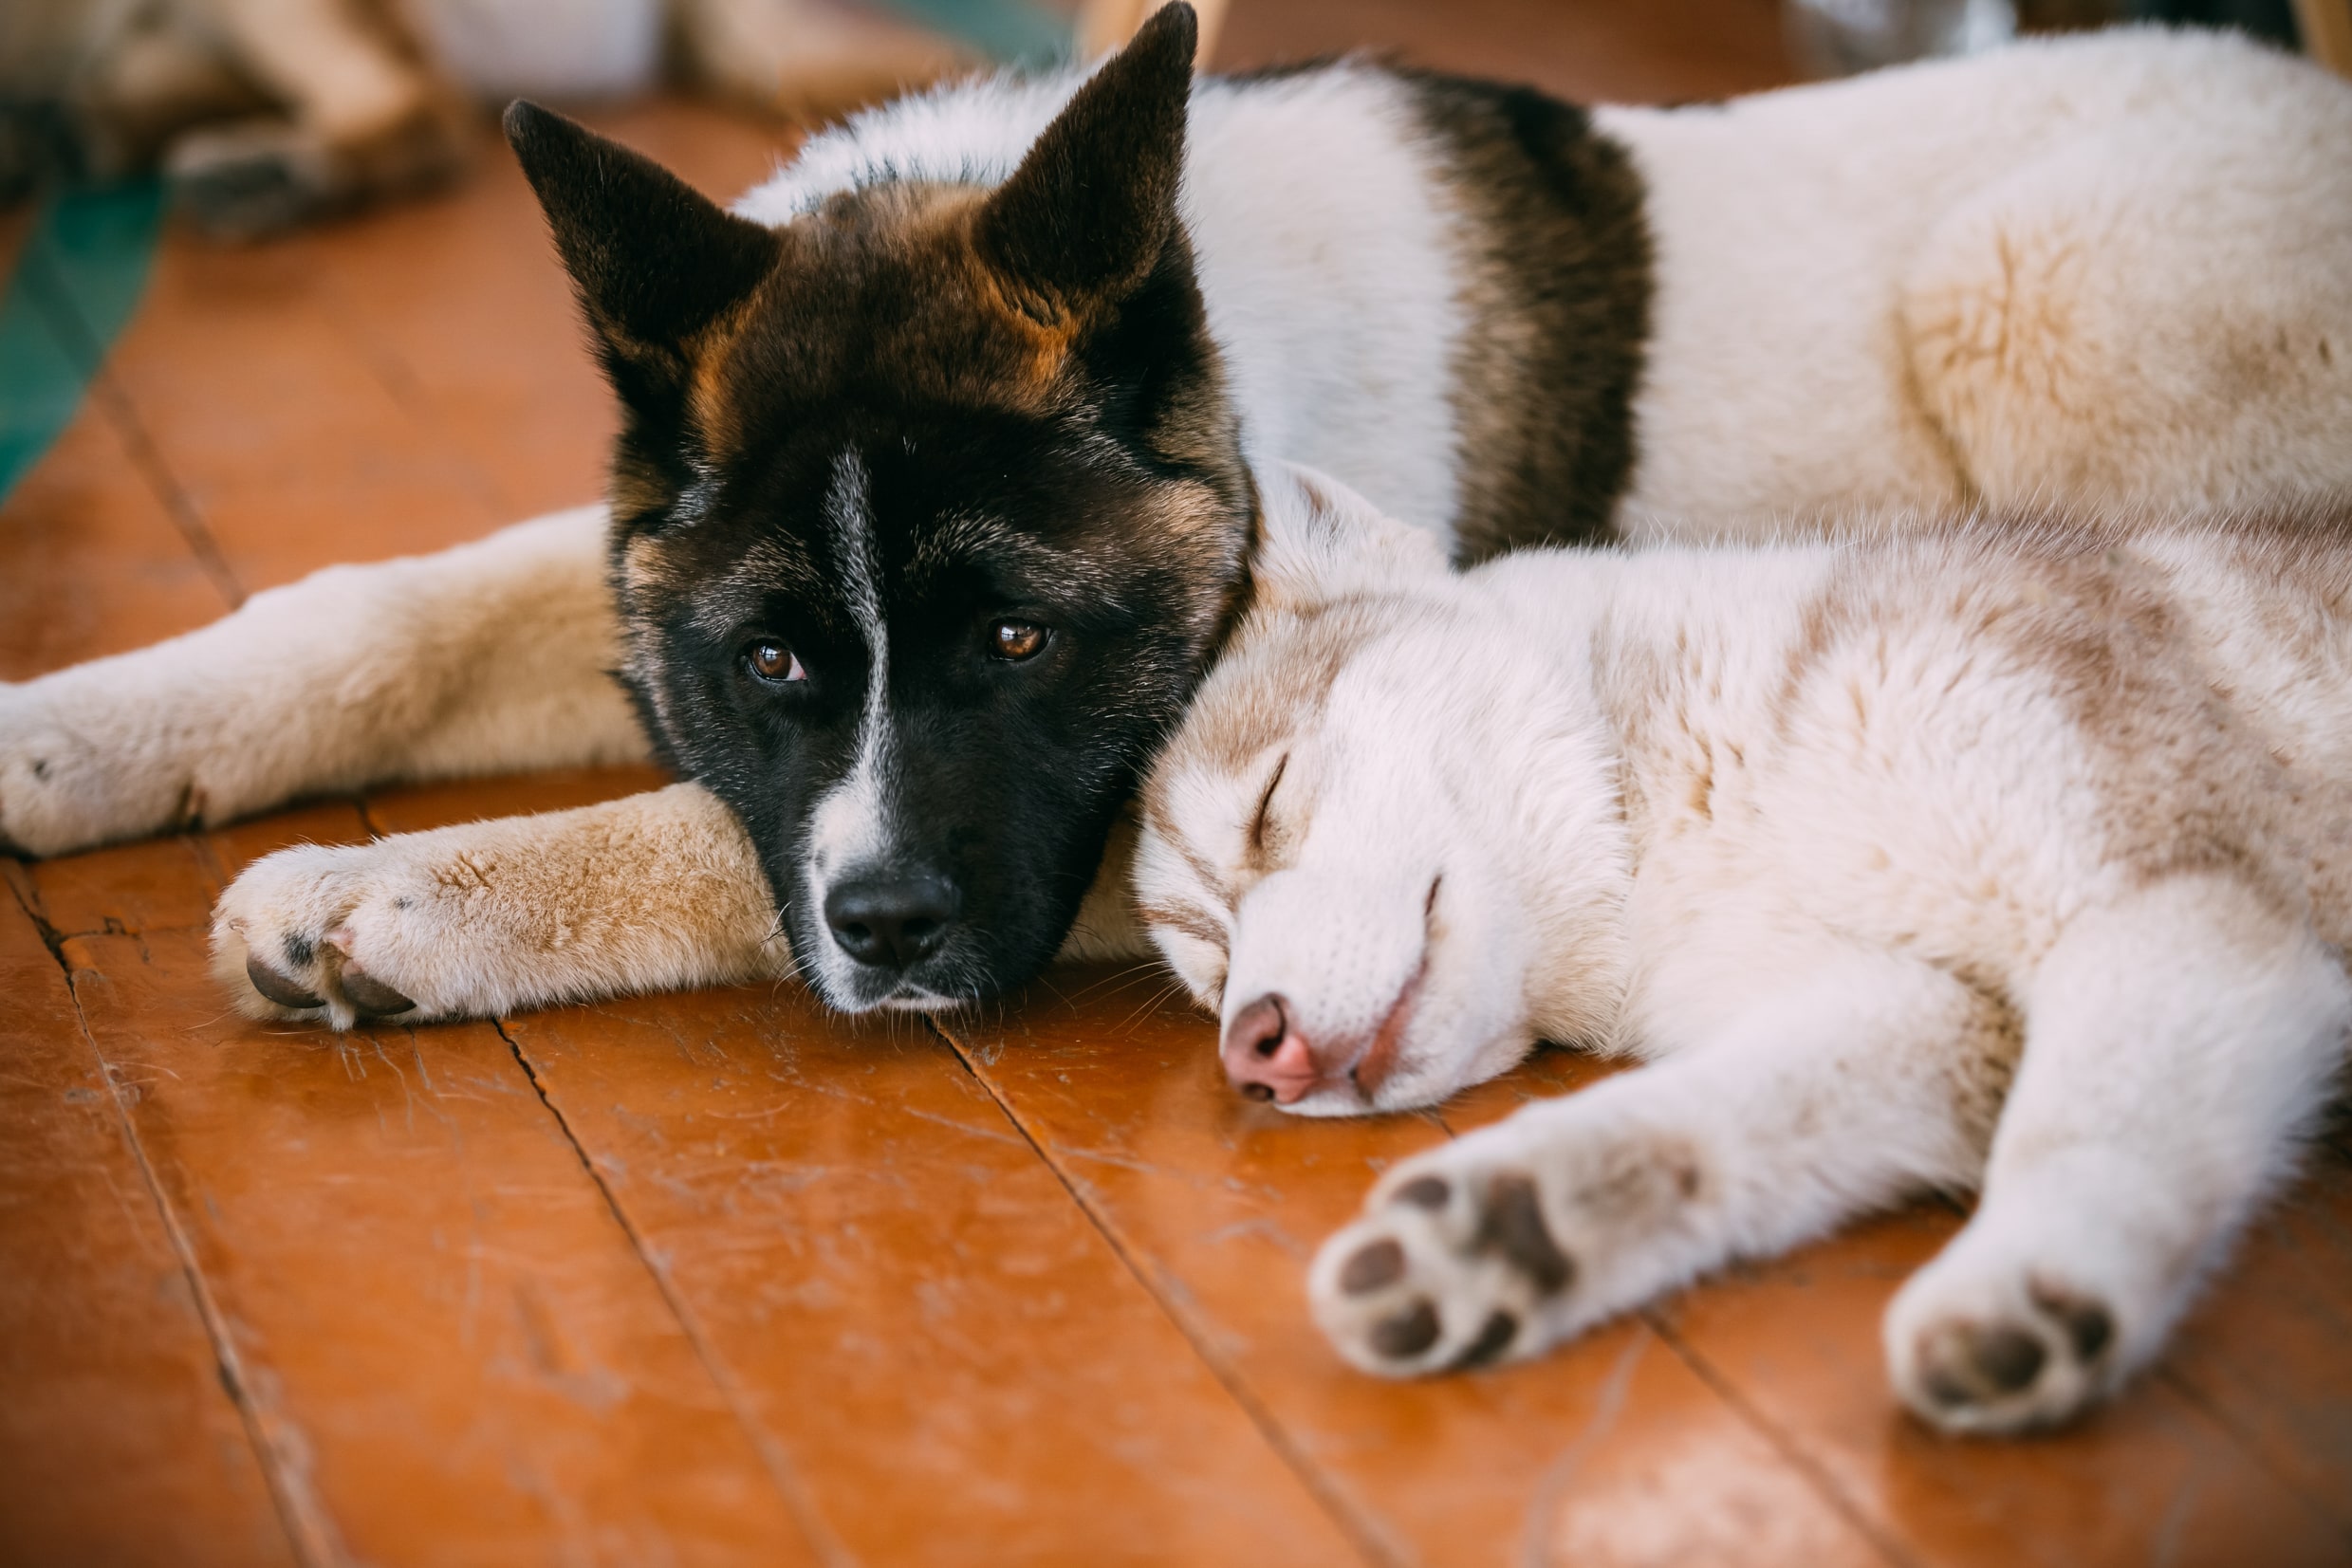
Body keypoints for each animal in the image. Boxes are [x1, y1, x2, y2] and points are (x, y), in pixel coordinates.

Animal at [1128, 465, 2343, 1438]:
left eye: (1269, 807)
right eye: (1213, 973)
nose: (1254, 1053)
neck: (1697, 822)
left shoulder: (2172, 898)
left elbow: (2089, 1128)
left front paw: (2031, 1277)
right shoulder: (1936, 1020)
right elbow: (1700, 1125)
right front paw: (1509, 1232)